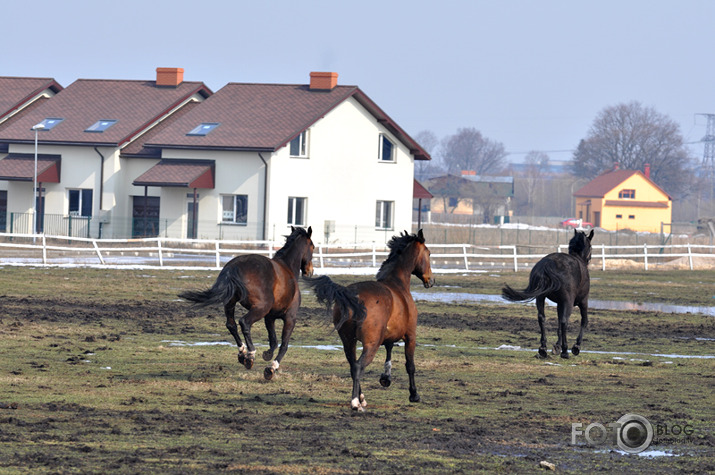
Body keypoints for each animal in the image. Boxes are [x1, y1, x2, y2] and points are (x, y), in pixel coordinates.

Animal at [178, 226, 314, 380]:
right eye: (312, 246)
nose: (310, 271)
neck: (288, 269)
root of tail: (233, 267)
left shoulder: (270, 317)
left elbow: (273, 340)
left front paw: (267, 355)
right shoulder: (290, 318)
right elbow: (283, 345)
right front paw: (271, 368)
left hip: (231, 303)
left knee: (231, 325)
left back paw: (242, 353)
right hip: (260, 308)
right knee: (244, 322)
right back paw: (250, 355)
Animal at [304, 231, 434, 412]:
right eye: (429, 253)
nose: (431, 280)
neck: (398, 285)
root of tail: (352, 296)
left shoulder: (388, 336)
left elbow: (389, 351)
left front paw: (386, 378)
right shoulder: (410, 336)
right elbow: (410, 365)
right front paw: (414, 395)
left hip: (348, 342)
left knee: (353, 366)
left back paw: (361, 399)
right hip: (371, 344)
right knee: (359, 366)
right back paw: (355, 403)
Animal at [500, 231, 596, 360]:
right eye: (591, 247)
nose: (589, 259)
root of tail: (547, 264)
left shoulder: (560, 303)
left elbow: (558, 323)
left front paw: (557, 346)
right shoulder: (582, 301)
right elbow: (583, 321)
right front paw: (576, 347)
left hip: (540, 298)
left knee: (542, 318)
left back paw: (543, 349)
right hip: (568, 301)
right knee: (564, 321)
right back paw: (565, 351)